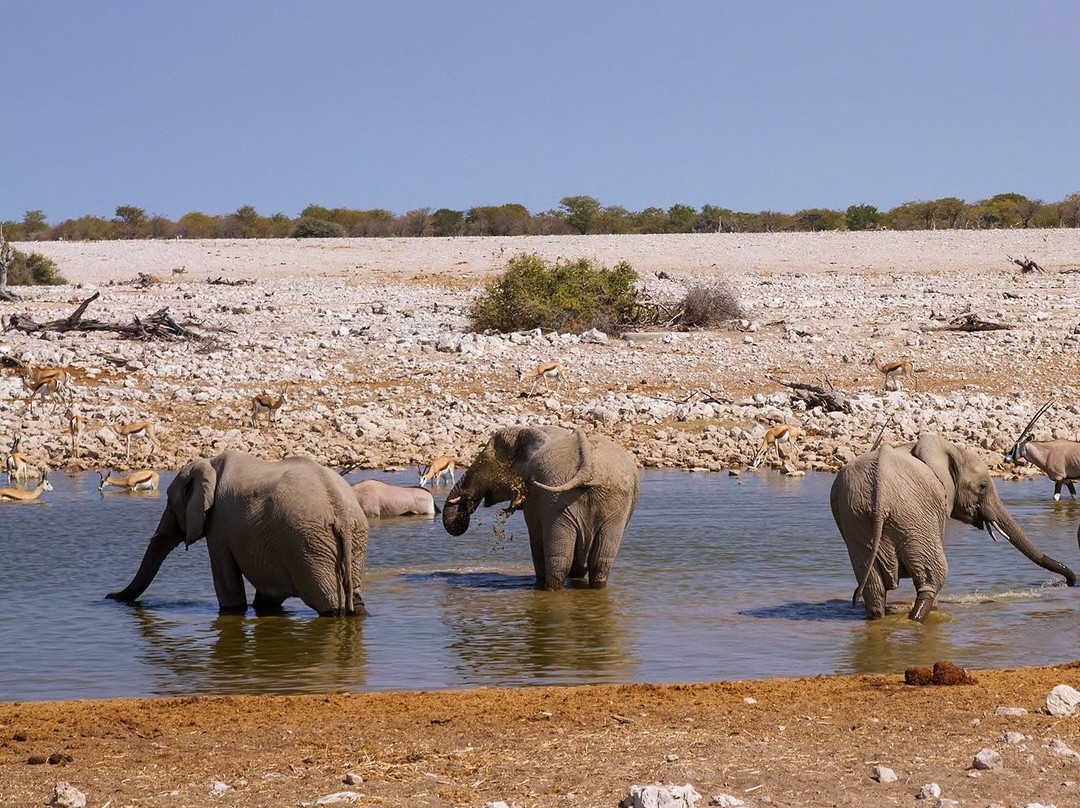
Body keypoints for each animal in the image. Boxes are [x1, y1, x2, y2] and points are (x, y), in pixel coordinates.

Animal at [108, 451, 371, 613]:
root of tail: (340, 509)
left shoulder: (220, 526)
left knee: (329, 603)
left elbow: (227, 584)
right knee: (353, 600)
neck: (210, 463)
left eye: (170, 504)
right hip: (346, 539)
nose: (108, 595)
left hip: (308, 544)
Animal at [440, 425, 635, 591]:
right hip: (613, 503)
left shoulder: (536, 502)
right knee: (600, 563)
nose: (467, 503)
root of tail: (586, 470)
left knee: (559, 563)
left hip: (559, 500)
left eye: (482, 464)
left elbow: (535, 537)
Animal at [829, 432, 1075, 622]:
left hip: (857, 518)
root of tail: (880, 487)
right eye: (983, 487)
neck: (951, 450)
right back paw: (918, 619)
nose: (1069, 582)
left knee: (874, 587)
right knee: (933, 577)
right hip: (910, 515)